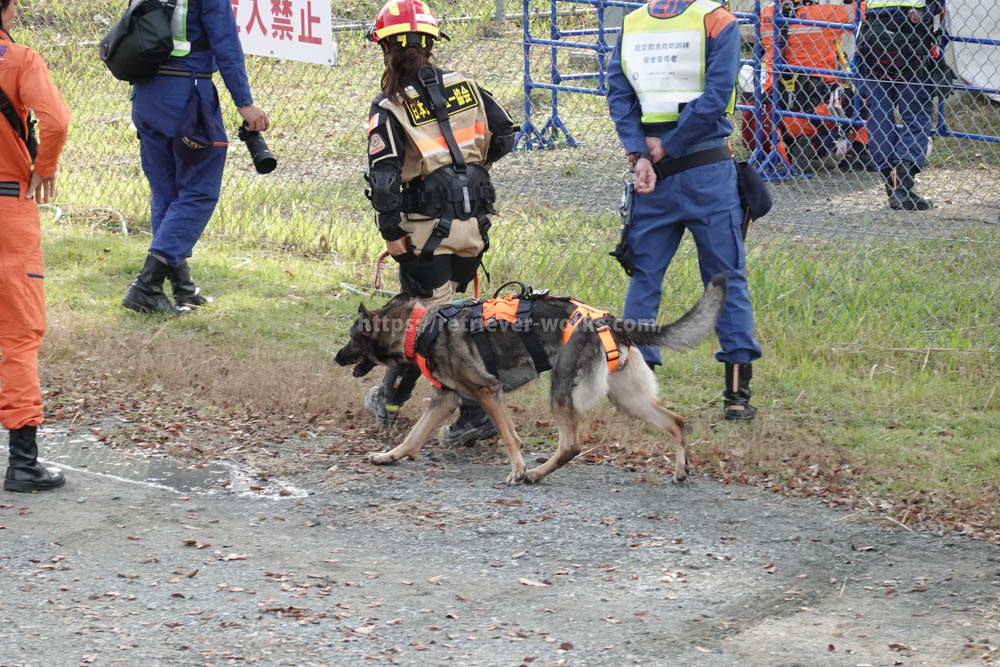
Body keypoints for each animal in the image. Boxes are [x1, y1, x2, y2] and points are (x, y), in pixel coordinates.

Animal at [336, 276, 728, 486]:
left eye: (353, 338)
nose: (336, 357)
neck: (419, 328)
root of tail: (609, 320)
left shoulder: (488, 391)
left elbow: (510, 437)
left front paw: (517, 469)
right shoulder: (445, 400)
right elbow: (413, 436)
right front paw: (390, 456)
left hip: (561, 393)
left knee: (571, 445)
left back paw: (536, 474)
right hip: (628, 400)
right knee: (676, 422)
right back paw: (680, 470)